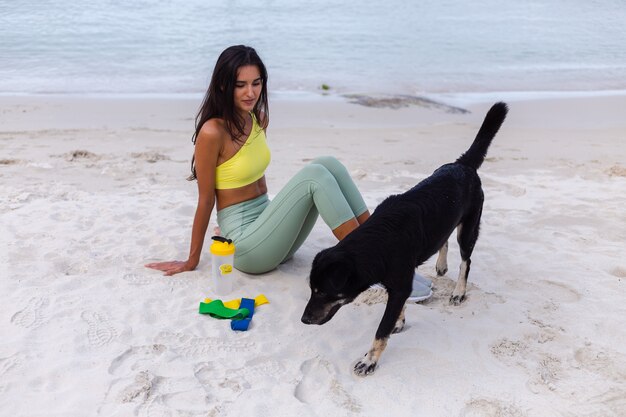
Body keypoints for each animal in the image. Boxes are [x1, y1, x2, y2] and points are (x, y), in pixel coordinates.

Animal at [302, 101, 508, 376]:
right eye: (312, 290)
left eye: (324, 292)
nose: (304, 319)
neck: (379, 241)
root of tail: (462, 165)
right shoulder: (398, 286)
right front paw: (398, 322)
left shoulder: (400, 286)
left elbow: (381, 330)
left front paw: (370, 360)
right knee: (443, 239)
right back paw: (441, 265)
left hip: (469, 228)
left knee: (466, 260)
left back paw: (459, 291)